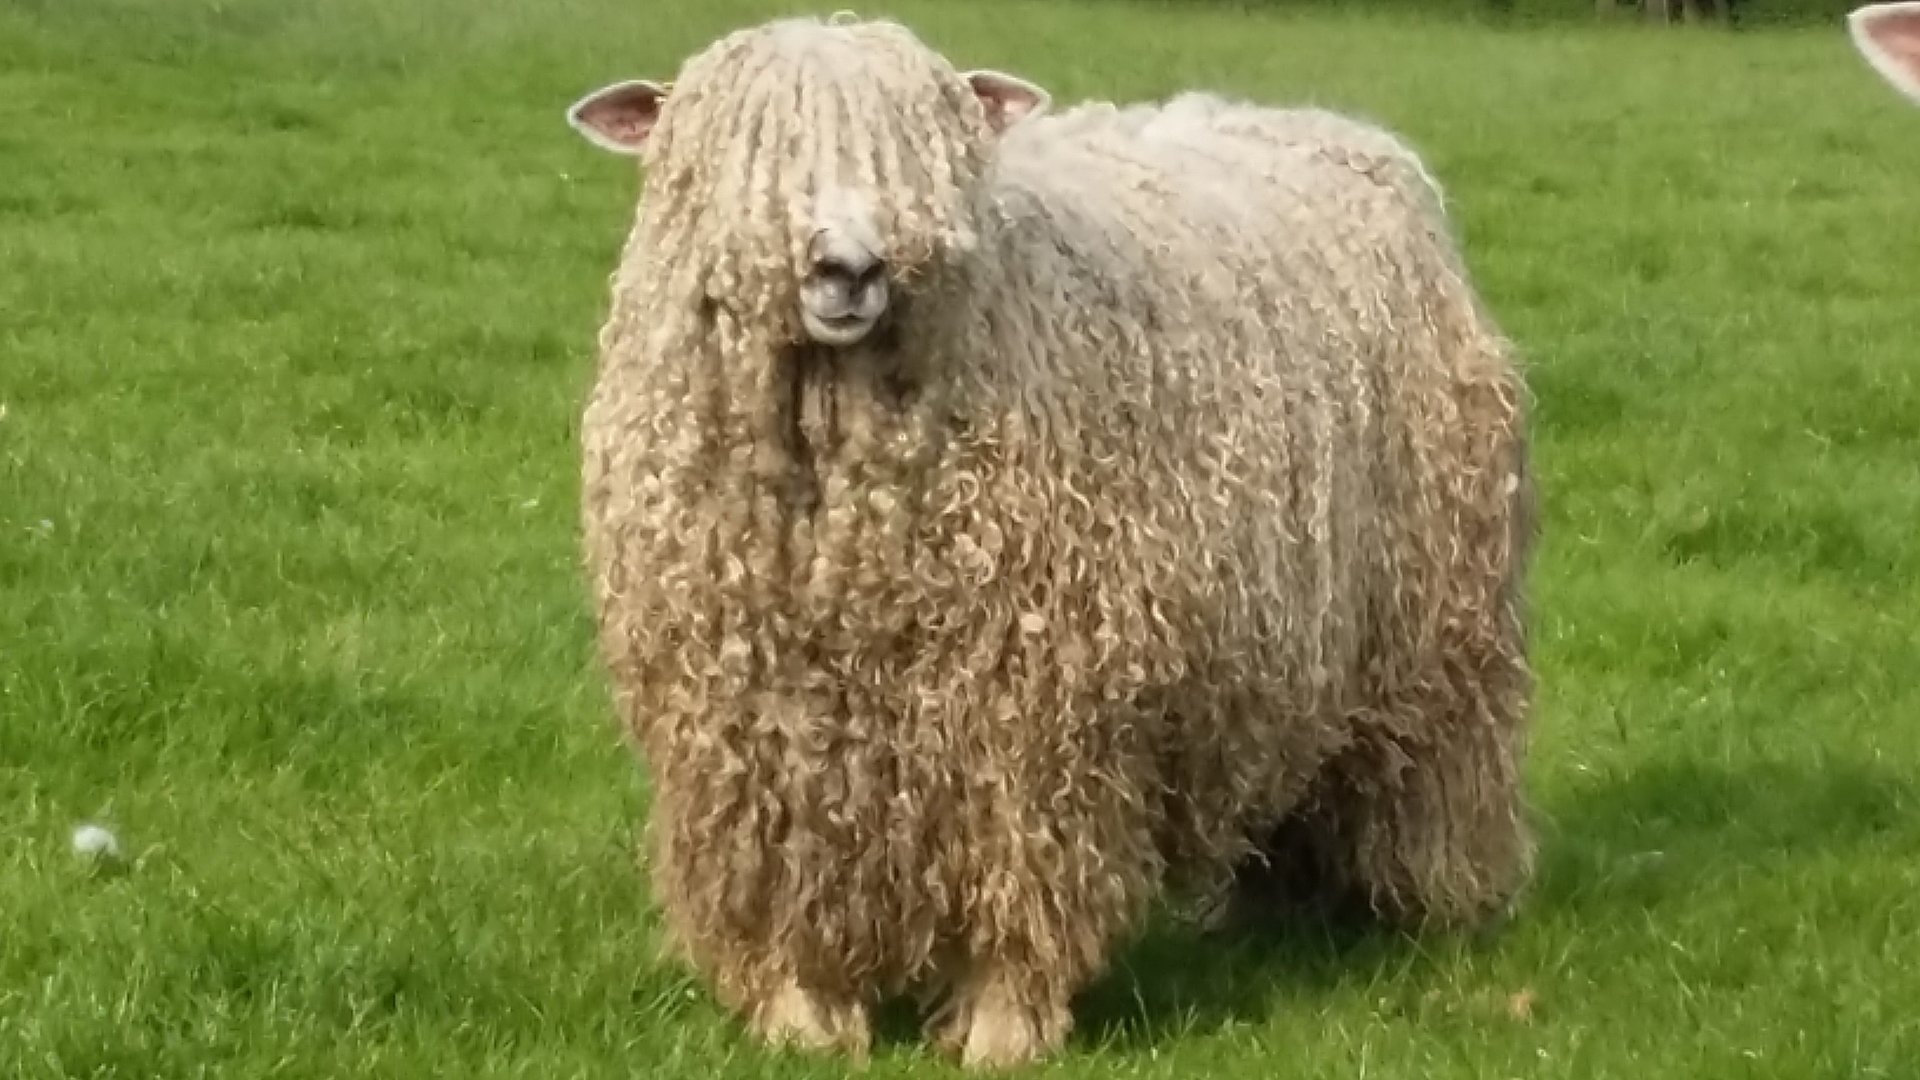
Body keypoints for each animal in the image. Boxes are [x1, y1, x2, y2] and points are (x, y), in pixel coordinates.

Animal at [566, 13, 1536, 1070]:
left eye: (927, 147)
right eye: (737, 149)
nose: (850, 270)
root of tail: (1337, 132)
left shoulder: (1032, 712)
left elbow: (1025, 874)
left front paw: (1004, 1030)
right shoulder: (750, 724)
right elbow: (792, 874)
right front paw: (805, 1020)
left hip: (1436, 625)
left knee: (1436, 768)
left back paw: (1439, 913)